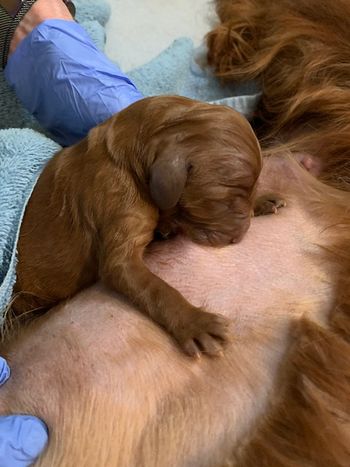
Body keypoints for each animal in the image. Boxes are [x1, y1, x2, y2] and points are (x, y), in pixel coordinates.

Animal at [13, 96, 262, 358]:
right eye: (224, 202)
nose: (241, 235)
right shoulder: (119, 211)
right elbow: (155, 288)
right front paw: (195, 322)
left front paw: (264, 200)